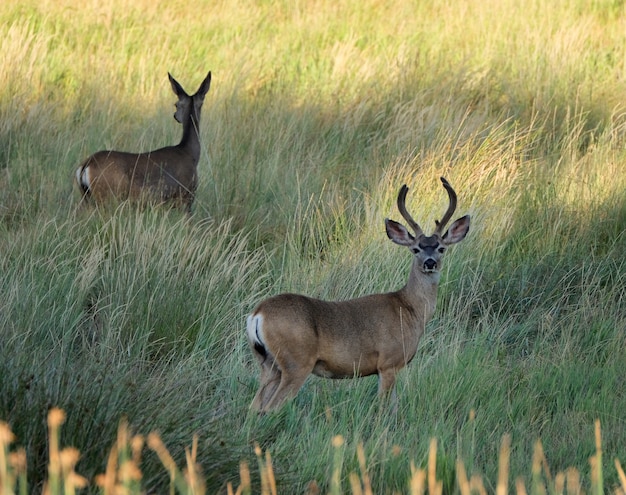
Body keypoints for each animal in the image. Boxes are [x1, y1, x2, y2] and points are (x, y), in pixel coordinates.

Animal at [74, 70, 212, 213]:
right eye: (176, 104)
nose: (175, 116)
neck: (189, 153)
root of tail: (86, 165)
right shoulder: (186, 196)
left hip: (87, 198)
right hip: (108, 198)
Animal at [244, 176, 468, 412]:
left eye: (441, 248)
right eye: (415, 248)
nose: (430, 262)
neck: (410, 309)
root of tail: (257, 313)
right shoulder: (388, 362)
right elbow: (384, 409)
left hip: (268, 365)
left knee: (254, 407)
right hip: (296, 363)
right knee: (270, 408)